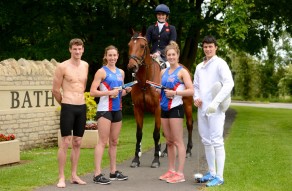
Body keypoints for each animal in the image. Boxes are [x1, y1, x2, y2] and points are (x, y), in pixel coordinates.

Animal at [127, 28, 194, 169]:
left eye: (142, 46)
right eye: (129, 45)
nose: (132, 66)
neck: (145, 81)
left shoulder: (157, 109)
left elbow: (156, 133)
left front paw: (155, 160)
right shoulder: (138, 109)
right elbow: (139, 134)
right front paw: (136, 159)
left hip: (187, 105)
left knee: (189, 125)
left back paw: (188, 151)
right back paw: (166, 151)